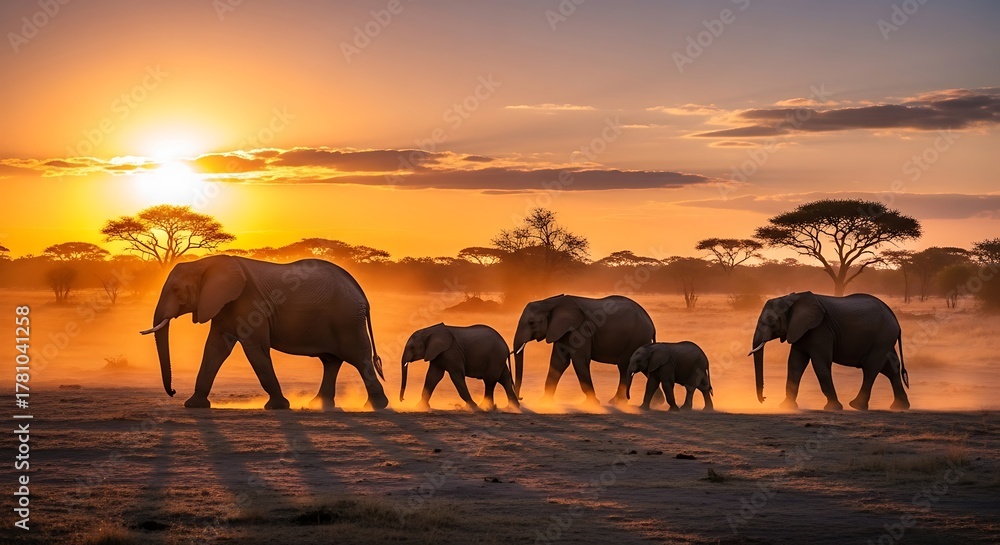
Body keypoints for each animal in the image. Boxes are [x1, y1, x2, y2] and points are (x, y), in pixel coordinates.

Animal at [139, 255, 388, 410]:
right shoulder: (223, 305)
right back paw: (318, 405)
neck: (204, 263)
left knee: (359, 358)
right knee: (331, 361)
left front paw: (278, 407)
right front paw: (193, 405)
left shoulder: (249, 303)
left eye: (176, 290)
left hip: (347, 321)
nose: (172, 391)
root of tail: (361, 293)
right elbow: (215, 349)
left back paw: (376, 406)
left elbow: (255, 349)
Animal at [512, 294, 656, 405]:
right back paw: (656, 403)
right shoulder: (562, 331)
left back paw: (616, 402)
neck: (551, 302)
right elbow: (558, 362)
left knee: (624, 366)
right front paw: (544, 402)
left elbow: (579, 361)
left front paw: (592, 403)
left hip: (635, 339)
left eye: (531, 323)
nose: (521, 398)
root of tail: (651, 323)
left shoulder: (581, 329)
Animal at [748, 291, 910, 411]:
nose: (764, 399)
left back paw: (856, 406)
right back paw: (900, 407)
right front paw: (786, 407)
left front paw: (833, 408)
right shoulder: (801, 330)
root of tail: (896, 320)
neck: (792, 298)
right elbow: (795, 364)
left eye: (770, 319)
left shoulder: (820, 329)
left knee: (871, 368)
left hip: (882, 337)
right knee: (891, 367)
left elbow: (820, 365)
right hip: (885, 339)